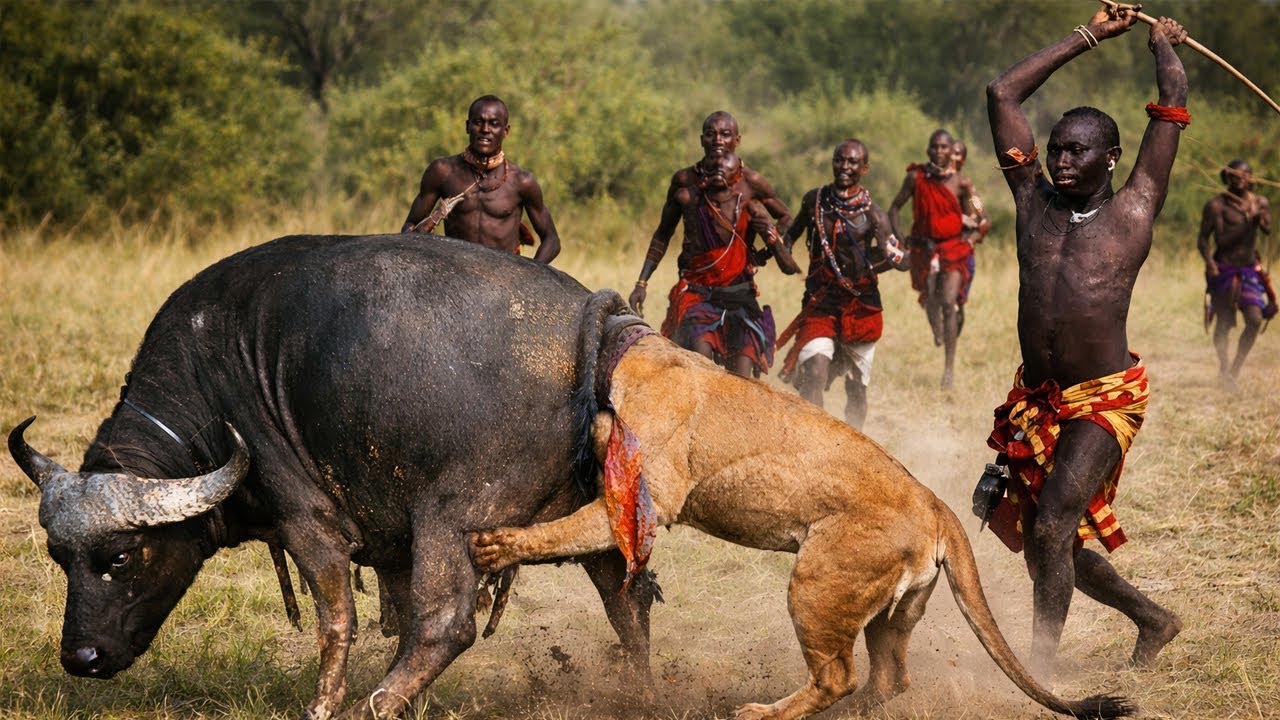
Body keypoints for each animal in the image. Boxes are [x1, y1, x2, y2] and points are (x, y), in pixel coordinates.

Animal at [470, 331, 1134, 720]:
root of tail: (934, 503)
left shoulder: (648, 495)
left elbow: (562, 530)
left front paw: (495, 545)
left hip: (818, 583)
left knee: (838, 676)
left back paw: (760, 714)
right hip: (893, 608)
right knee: (889, 677)